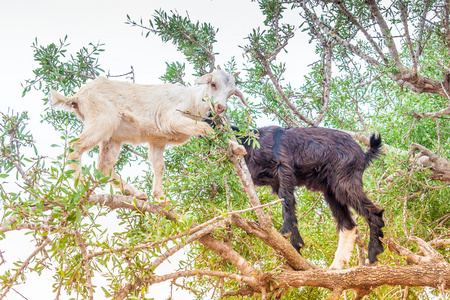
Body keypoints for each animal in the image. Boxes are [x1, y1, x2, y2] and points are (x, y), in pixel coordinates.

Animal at [50, 69, 248, 203]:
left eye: (231, 93)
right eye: (213, 84)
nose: (221, 107)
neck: (194, 101)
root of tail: (77, 97)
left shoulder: (157, 140)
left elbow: (158, 166)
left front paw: (160, 197)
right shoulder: (171, 118)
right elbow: (208, 129)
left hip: (113, 136)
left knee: (104, 166)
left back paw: (137, 194)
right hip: (101, 120)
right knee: (75, 147)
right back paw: (81, 186)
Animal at [218, 119, 384, 268]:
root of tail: (363, 154)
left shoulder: (284, 167)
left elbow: (286, 200)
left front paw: (285, 232)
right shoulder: (276, 182)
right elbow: (290, 205)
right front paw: (295, 247)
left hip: (344, 183)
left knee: (374, 213)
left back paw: (372, 255)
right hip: (331, 191)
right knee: (347, 224)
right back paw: (335, 267)